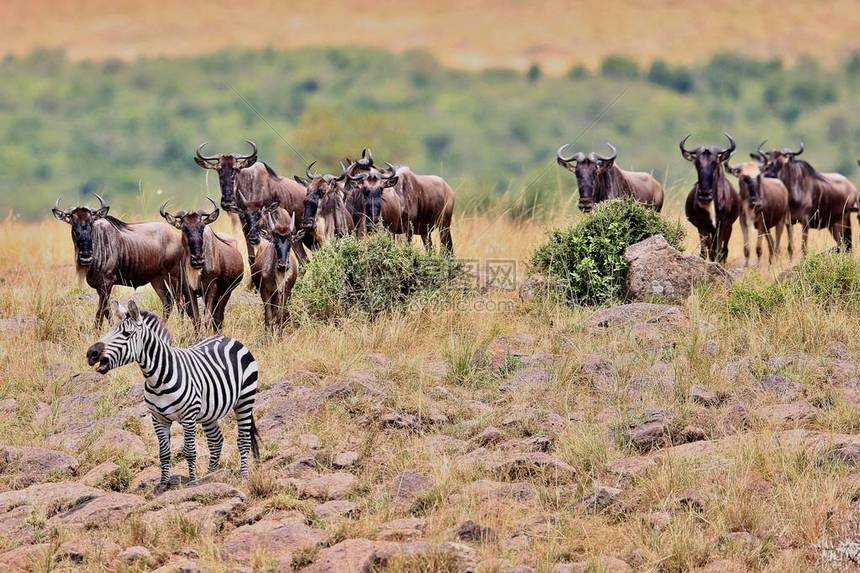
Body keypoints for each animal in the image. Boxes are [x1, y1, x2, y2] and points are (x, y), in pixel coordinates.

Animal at [89, 300, 262, 482]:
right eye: (109, 330)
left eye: (126, 334)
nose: (91, 353)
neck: (157, 380)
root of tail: (227, 337)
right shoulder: (158, 419)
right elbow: (164, 453)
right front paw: (164, 483)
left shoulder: (188, 416)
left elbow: (190, 451)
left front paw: (192, 481)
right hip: (210, 411)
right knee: (216, 440)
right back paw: (211, 474)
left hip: (245, 400)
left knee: (243, 440)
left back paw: (243, 476)